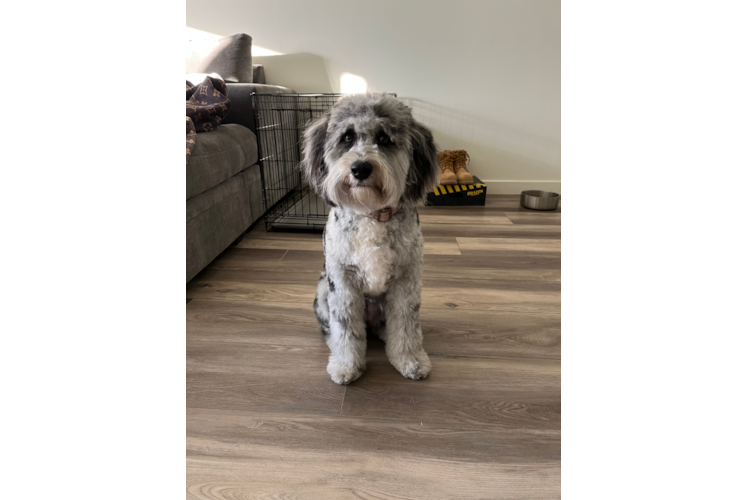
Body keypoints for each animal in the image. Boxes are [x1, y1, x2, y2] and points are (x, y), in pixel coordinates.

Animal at [302, 94, 442, 384]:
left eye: (385, 139)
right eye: (347, 137)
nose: (360, 168)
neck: (371, 212)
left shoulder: (406, 281)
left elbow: (406, 324)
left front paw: (410, 360)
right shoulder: (343, 283)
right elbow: (345, 329)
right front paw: (346, 366)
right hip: (323, 292)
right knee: (334, 329)